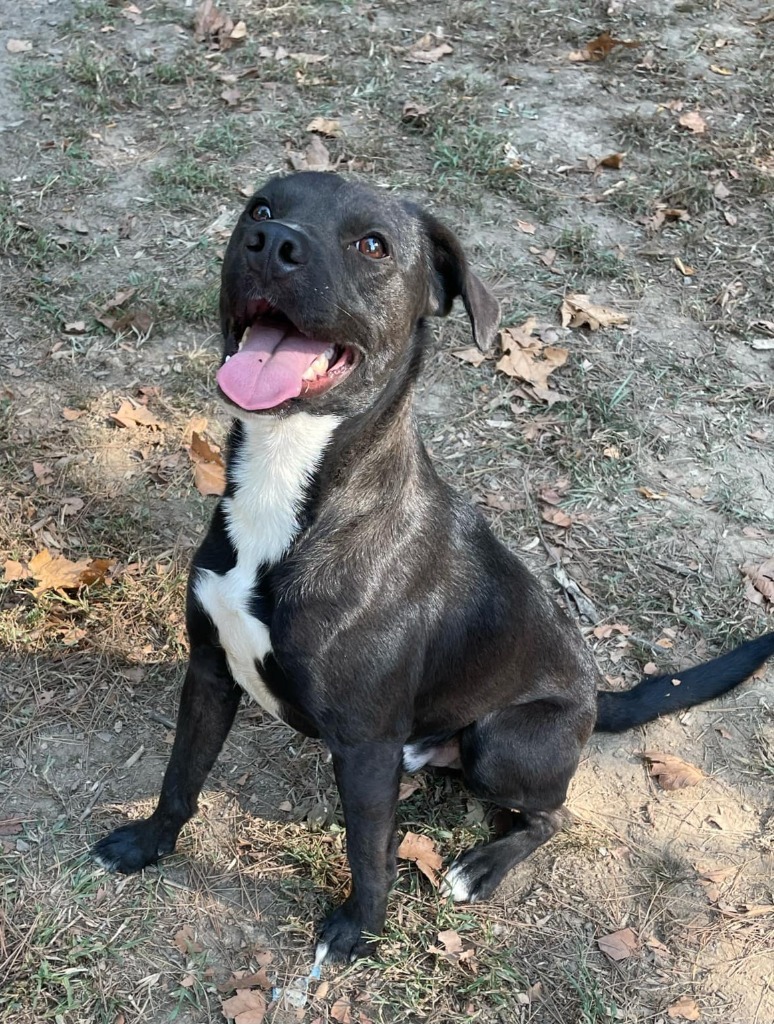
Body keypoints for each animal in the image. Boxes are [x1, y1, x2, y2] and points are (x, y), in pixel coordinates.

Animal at [93, 172, 774, 962]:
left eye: (372, 245)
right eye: (260, 208)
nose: (271, 242)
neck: (288, 478)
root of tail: (595, 699)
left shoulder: (363, 745)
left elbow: (367, 851)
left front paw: (357, 931)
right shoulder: (208, 669)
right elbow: (181, 775)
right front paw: (148, 844)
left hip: (502, 740)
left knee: (551, 817)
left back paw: (481, 867)